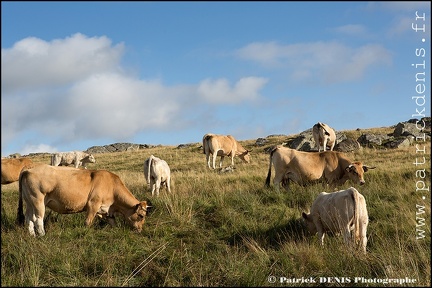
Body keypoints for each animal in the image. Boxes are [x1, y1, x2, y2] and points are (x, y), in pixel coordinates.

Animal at [16, 164, 150, 236]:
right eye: (141, 216)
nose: (140, 230)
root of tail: (29, 168)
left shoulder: (105, 209)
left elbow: (113, 222)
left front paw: (115, 231)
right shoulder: (93, 204)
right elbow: (88, 222)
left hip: (29, 201)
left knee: (28, 219)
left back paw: (32, 235)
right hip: (38, 200)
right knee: (37, 219)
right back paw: (43, 235)